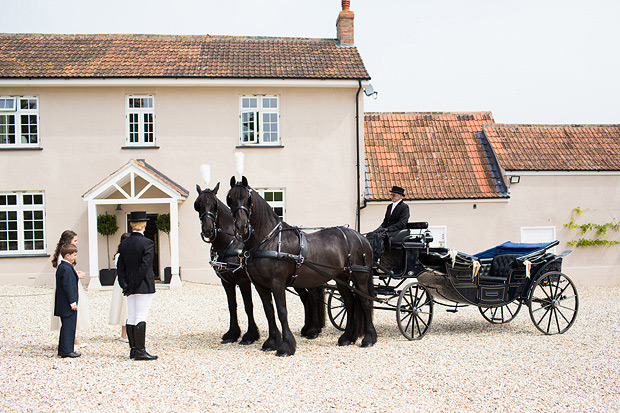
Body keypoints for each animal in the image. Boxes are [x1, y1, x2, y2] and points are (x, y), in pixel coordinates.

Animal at [195, 182, 324, 346]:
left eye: (214, 204)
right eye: (198, 205)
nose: (208, 230)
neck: (230, 242)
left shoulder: (243, 279)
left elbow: (248, 305)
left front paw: (250, 335)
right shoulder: (226, 281)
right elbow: (232, 306)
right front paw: (232, 333)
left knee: (313, 298)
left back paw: (313, 330)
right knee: (306, 298)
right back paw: (307, 328)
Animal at [225, 175, 376, 356]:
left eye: (248, 198)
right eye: (229, 199)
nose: (242, 226)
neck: (269, 241)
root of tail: (361, 237)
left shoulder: (277, 283)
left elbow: (282, 311)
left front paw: (286, 346)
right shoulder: (260, 285)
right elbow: (269, 311)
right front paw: (271, 342)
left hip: (360, 277)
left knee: (366, 303)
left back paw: (369, 338)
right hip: (342, 279)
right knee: (350, 303)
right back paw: (347, 338)